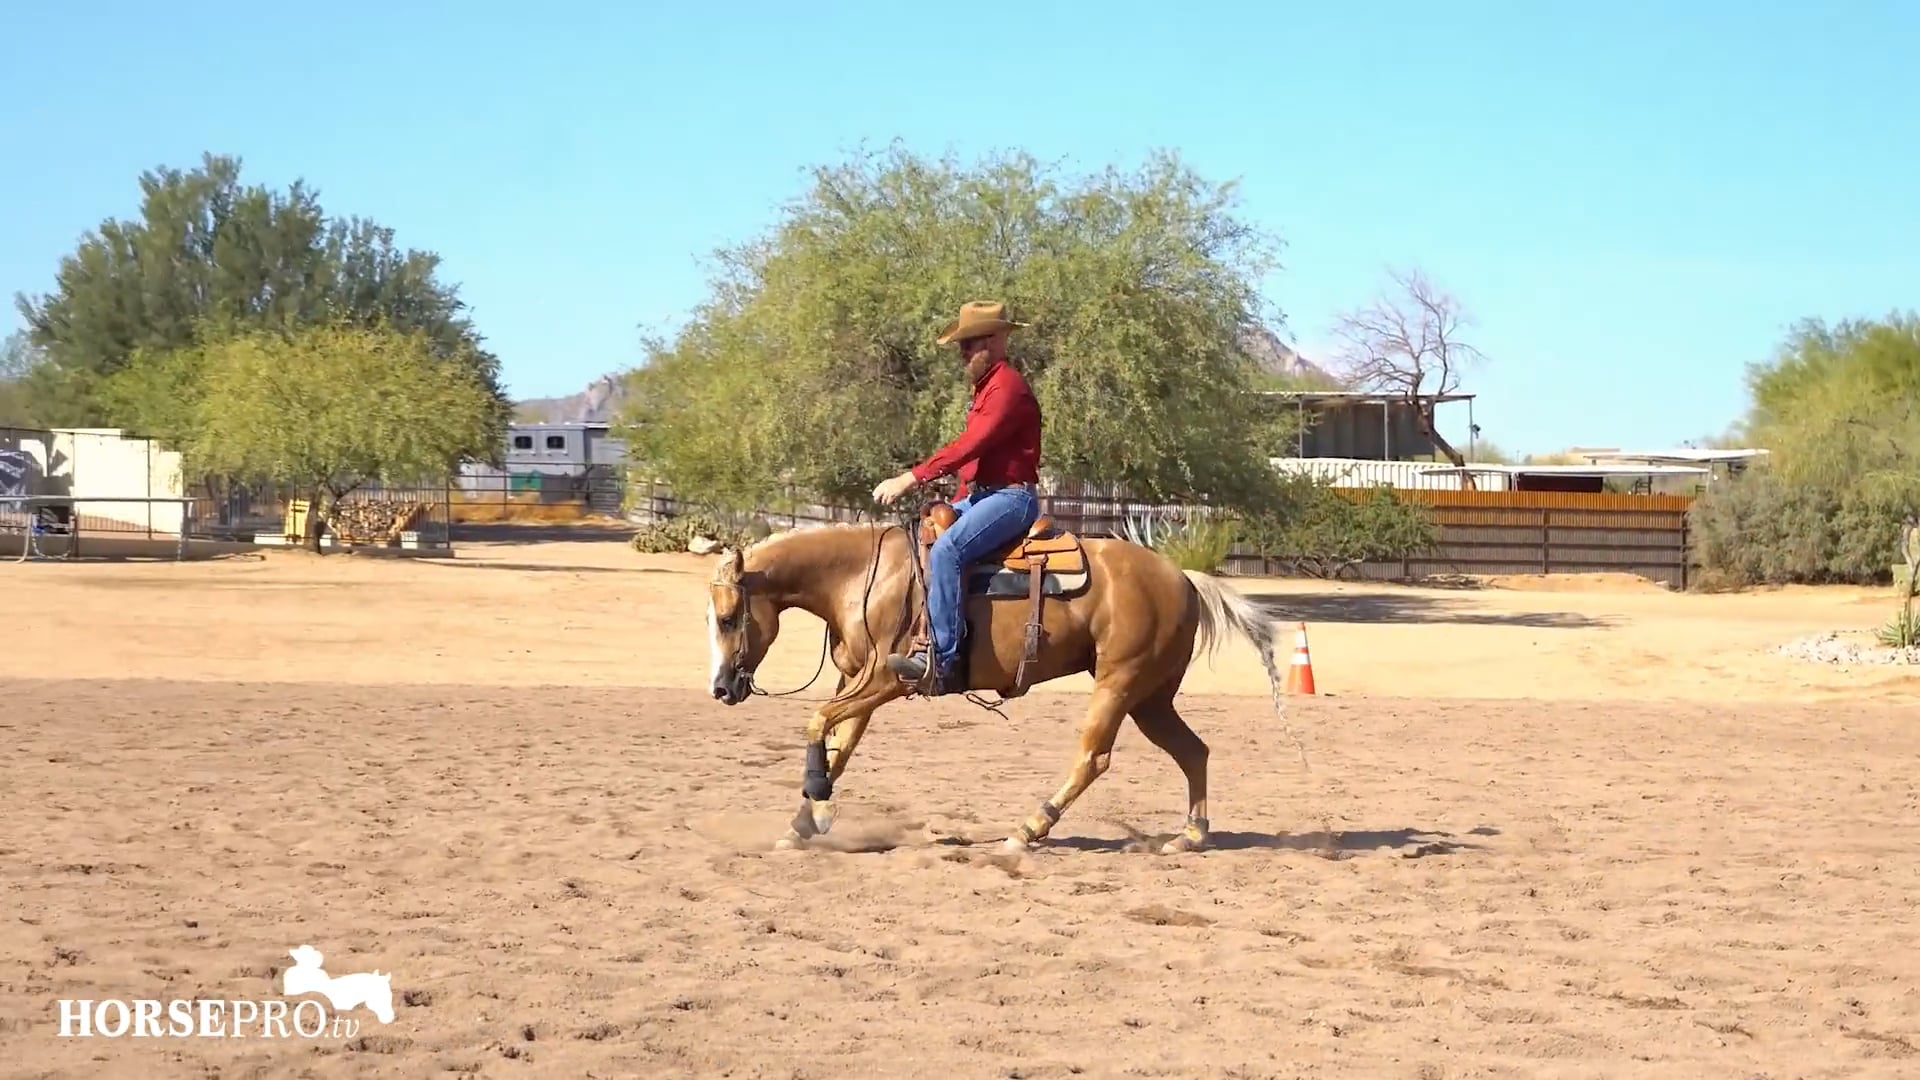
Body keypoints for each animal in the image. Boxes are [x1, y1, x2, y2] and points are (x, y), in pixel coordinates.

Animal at [704, 505, 1286, 855]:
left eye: (729, 617)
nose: (722, 689)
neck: (863, 576)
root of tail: (1183, 577)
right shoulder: (861, 686)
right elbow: (837, 745)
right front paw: (804, 822)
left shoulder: (889, 681)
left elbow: (816, 721)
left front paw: (817, 808)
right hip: (1151, 699)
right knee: (1193, 751)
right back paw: (1190, 835)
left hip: (1120, 685)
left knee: (1093, 757)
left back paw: (1029, 829)